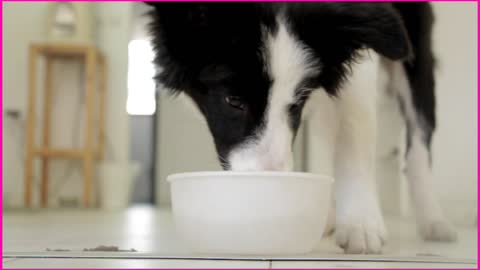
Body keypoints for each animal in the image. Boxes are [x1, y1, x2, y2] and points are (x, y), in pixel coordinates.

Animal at [146, 2, 458, 253]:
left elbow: (355, 129)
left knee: (418, 141)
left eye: (296, 103)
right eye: (234, 100)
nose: (271, 186)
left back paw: (434, 221)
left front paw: (361, 224)